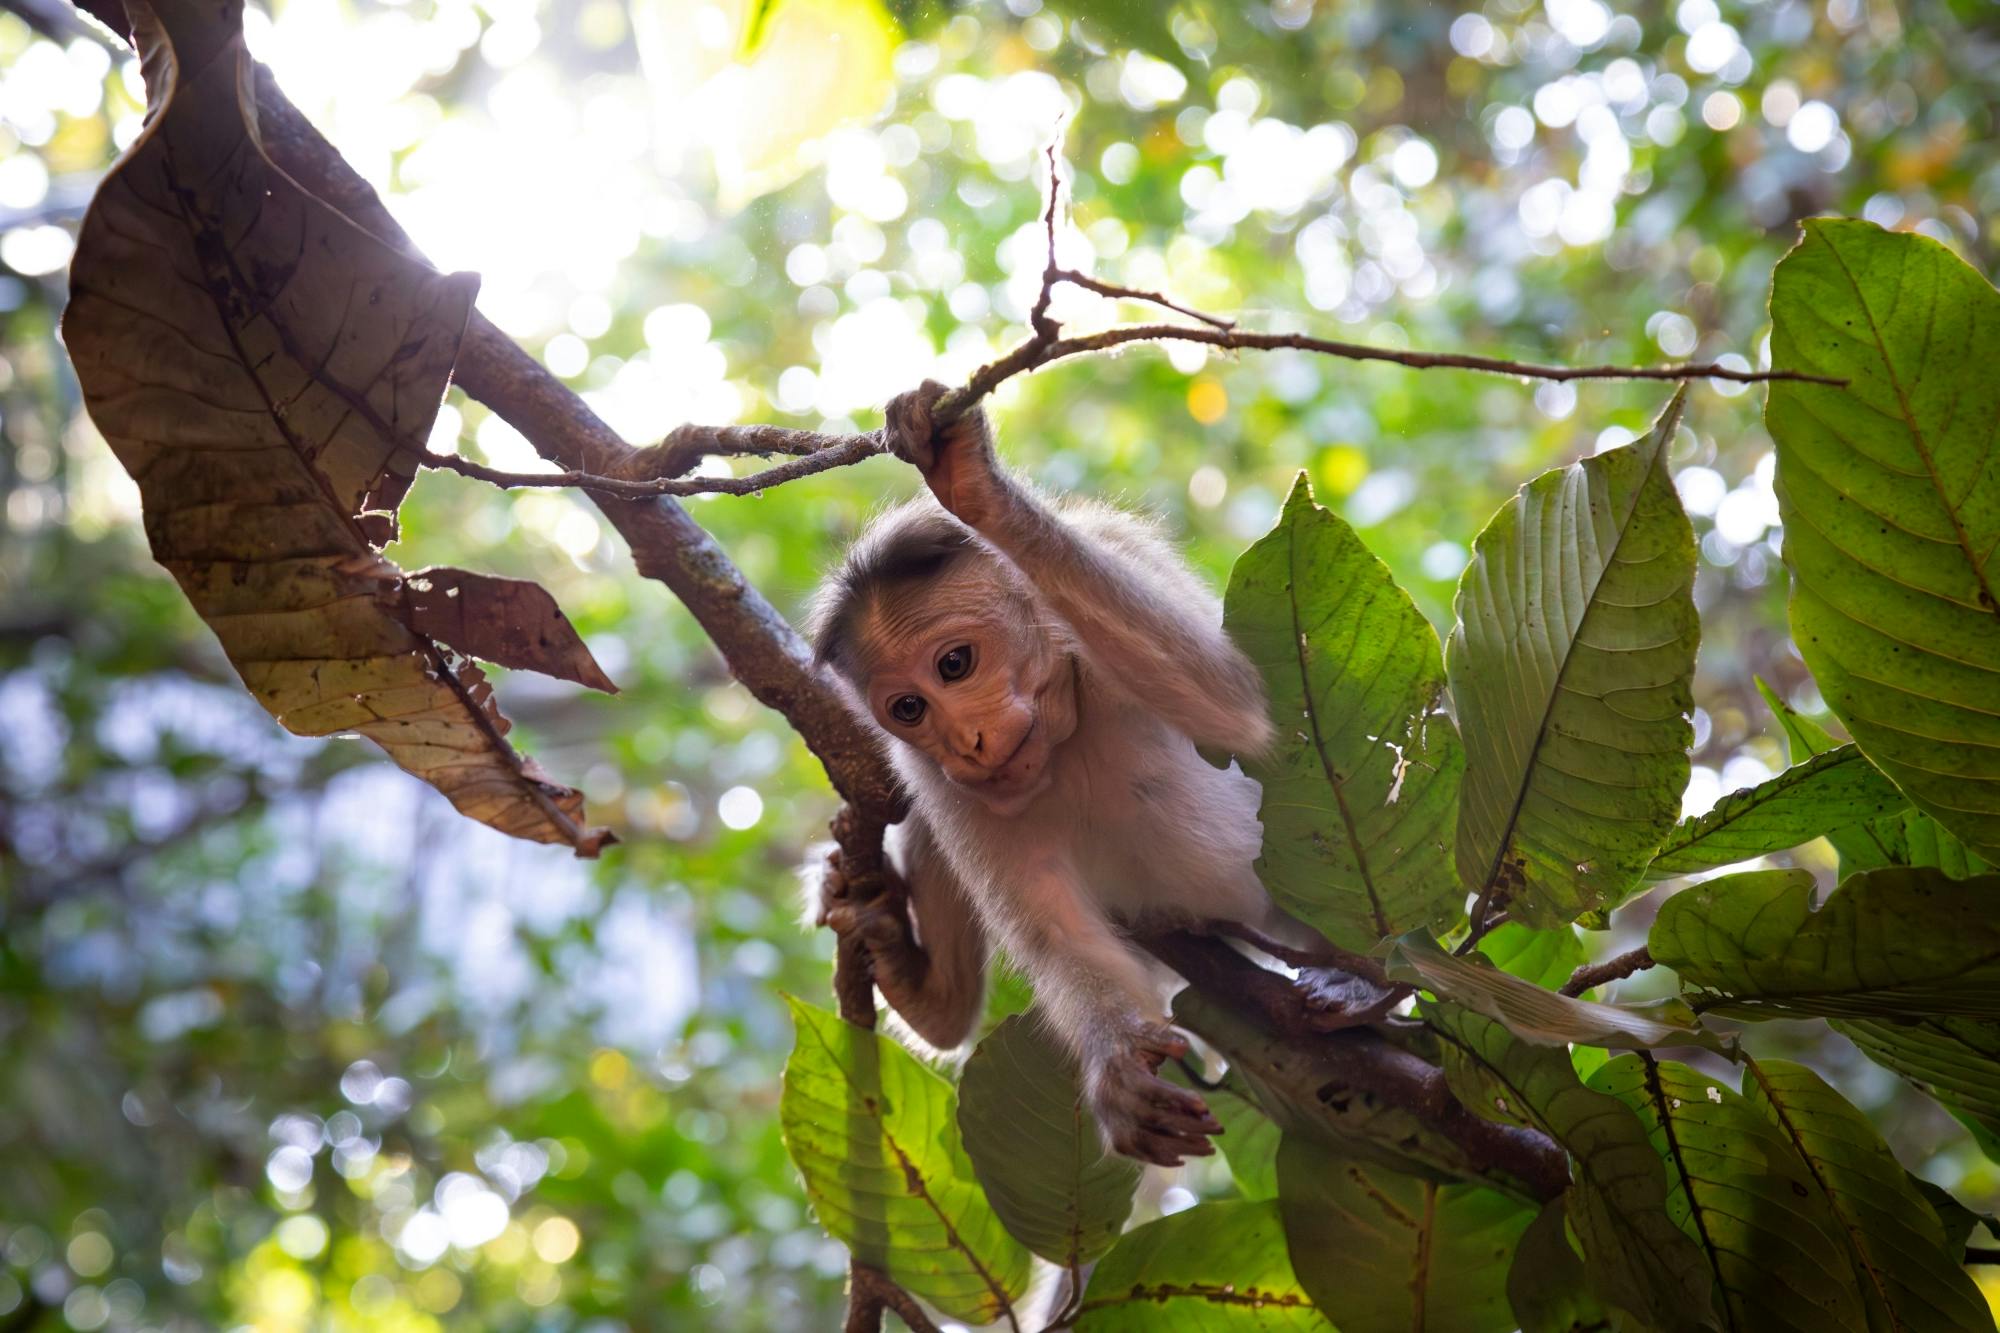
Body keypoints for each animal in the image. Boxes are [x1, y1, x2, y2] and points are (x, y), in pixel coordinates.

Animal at [808, 376, 1296, 1160]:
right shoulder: (942, 784)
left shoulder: (1116, 546)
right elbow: (1054, 925)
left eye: (955, 664)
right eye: (909, 708)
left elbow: (1234, 707)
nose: (968, 741)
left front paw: (973, 484)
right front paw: (1116, 1067)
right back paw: (920, 981)